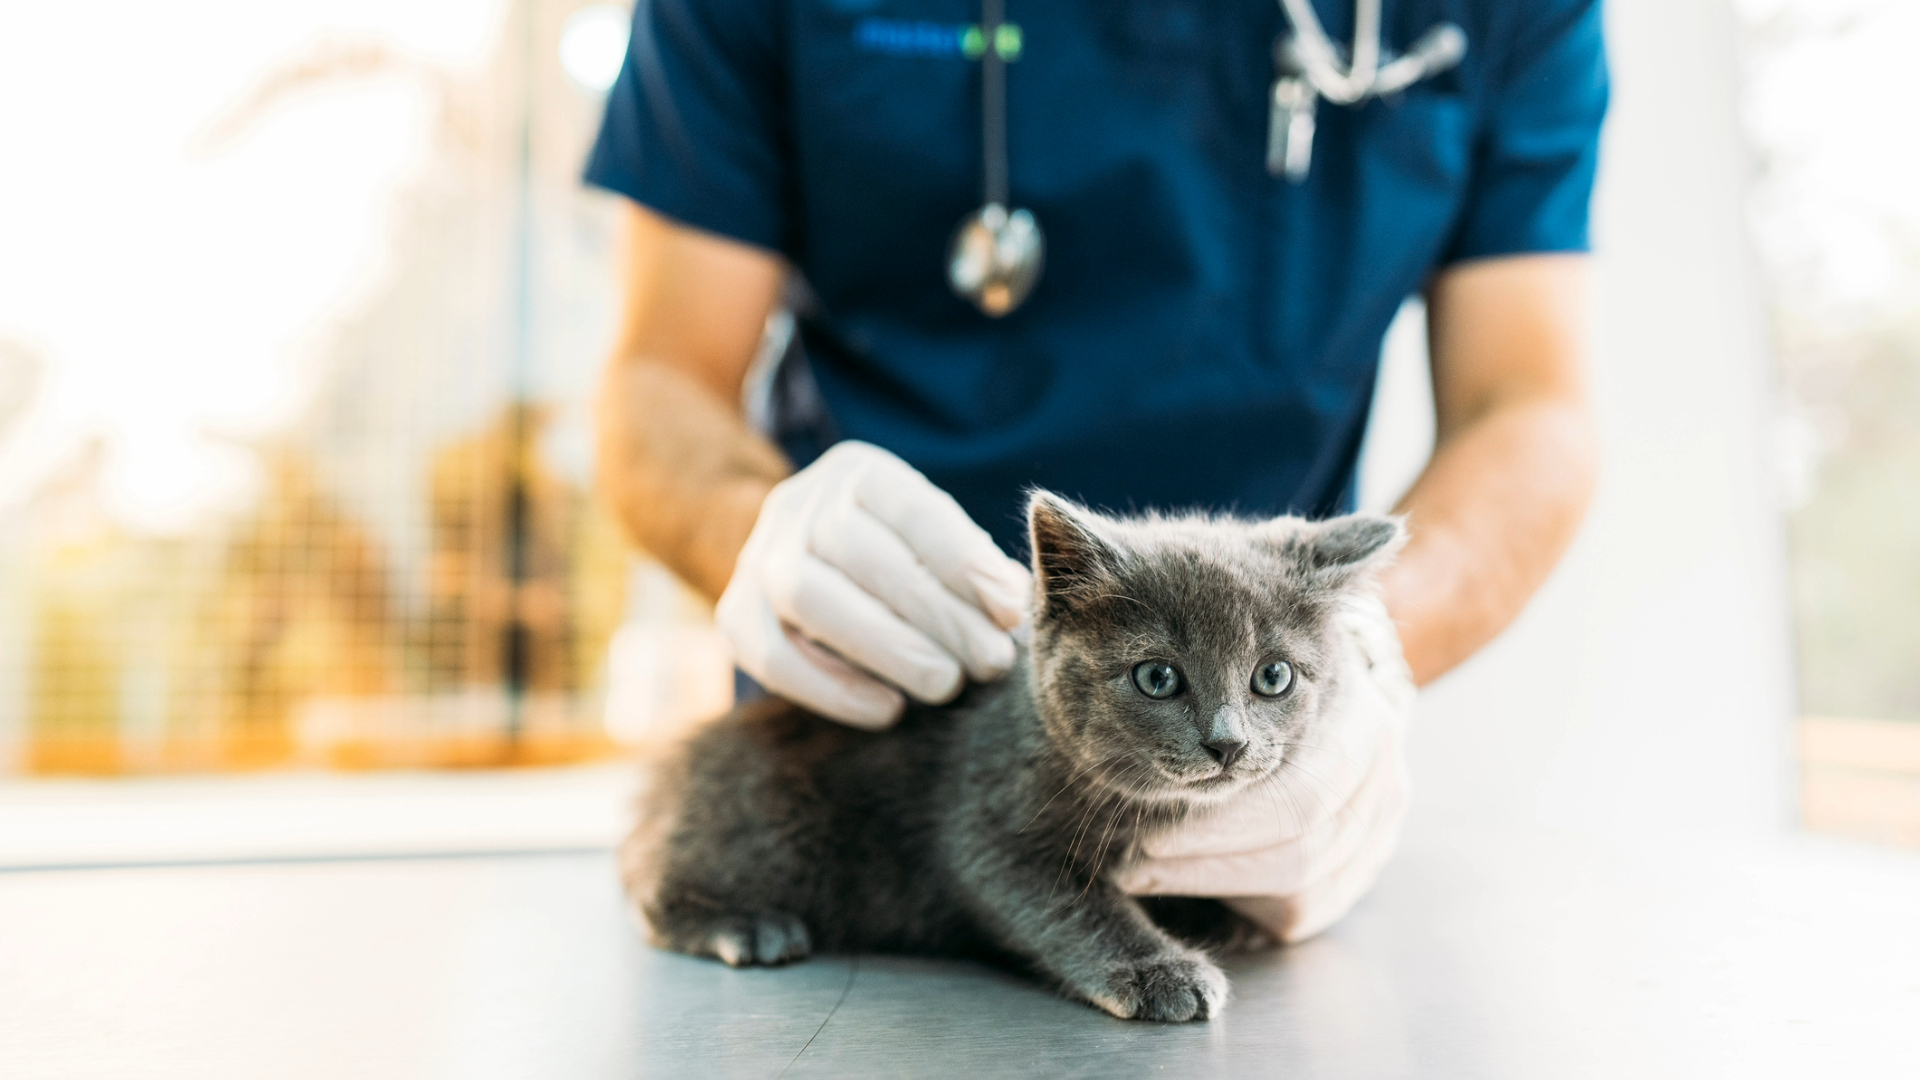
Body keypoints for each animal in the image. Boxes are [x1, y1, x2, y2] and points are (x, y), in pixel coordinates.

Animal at [622, 491, 1405, 1022]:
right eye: (1158, 677)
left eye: (1273, 676)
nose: (1228, 741)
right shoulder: (986, 822)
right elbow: (1066, 903)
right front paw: (1160, 970)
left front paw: (1219, 917)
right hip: (774, 827)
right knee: (655, 895)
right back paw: (741, 926)